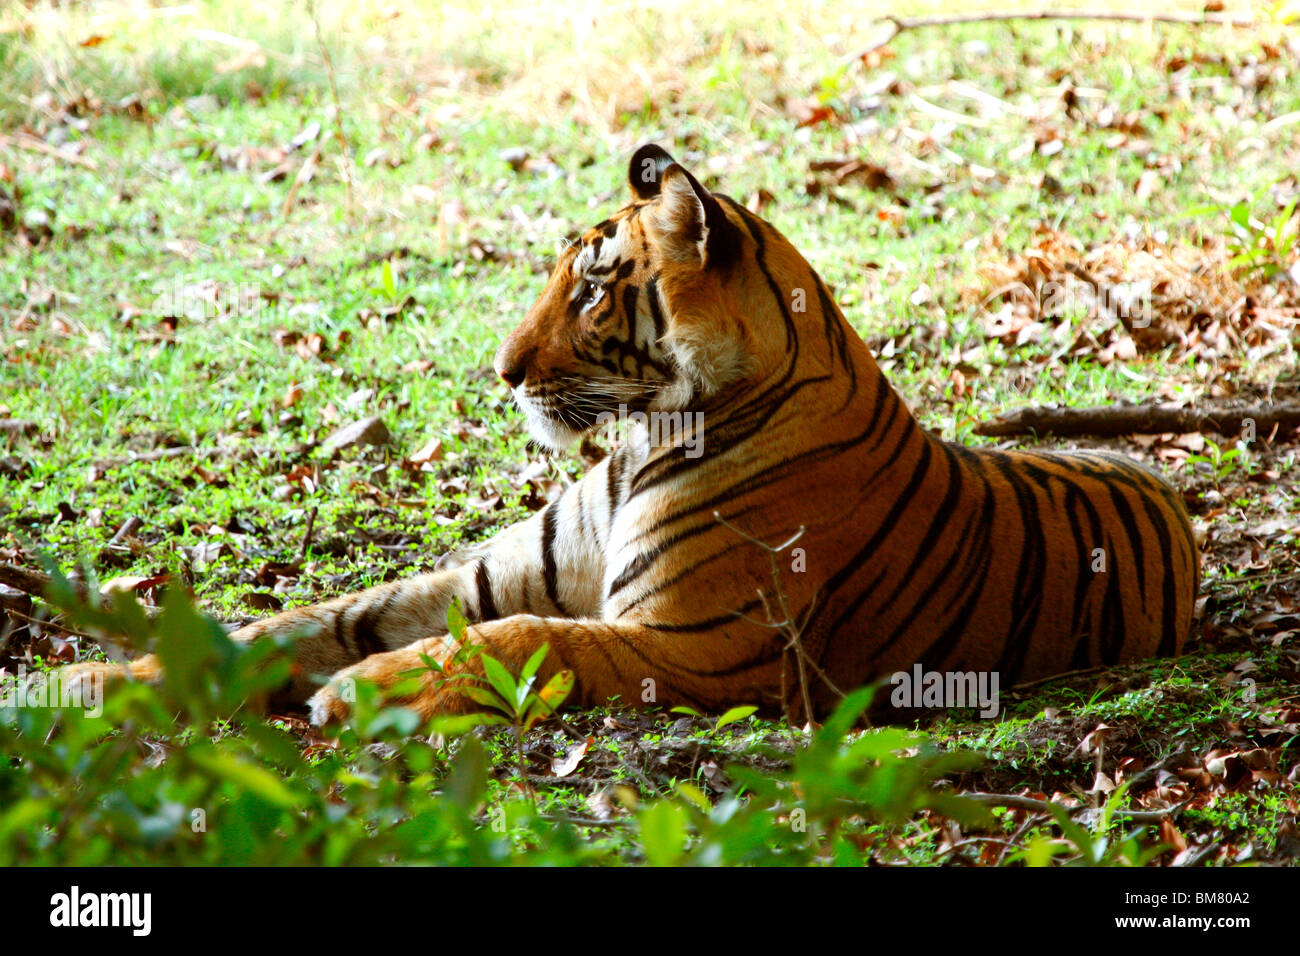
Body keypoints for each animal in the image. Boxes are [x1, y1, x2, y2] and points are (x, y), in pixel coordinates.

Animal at [61, 143, 1196, 723]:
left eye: (594, 287)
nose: (501, 369)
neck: (642, 441)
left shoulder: (704, 646)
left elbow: (525, 640)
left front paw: (359, 695)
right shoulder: (475, 579)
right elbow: (296, 621)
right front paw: (87, 680)